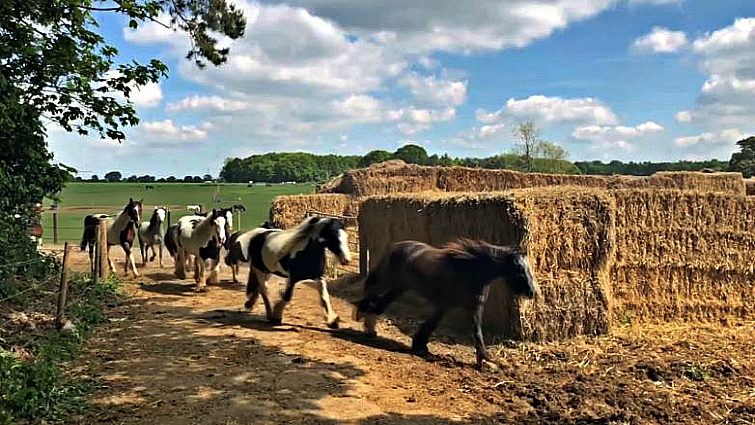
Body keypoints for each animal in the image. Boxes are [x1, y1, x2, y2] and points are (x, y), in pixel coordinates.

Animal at [352, 238, 539, 370]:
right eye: (518, 269)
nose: (532, 292)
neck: (470, 271)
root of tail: (395, 246)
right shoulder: (445, 305)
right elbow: (433, 324)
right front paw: (420, 346)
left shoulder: (472, 308)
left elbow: (476, 333)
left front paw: (485, 361)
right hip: (388, 281)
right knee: (371, 292)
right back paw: (360, 317)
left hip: (400, 287)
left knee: (380, 304)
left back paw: (369, 328)